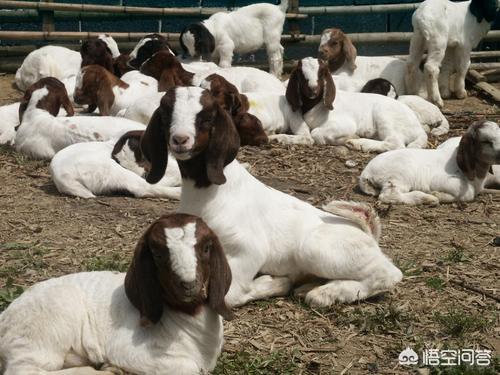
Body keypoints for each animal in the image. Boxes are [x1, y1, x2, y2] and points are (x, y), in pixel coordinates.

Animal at [0, 214, 234, 375]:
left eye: (206, 248)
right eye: (157, 254)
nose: (188, 284)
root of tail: (4, 318)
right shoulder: (130, 351)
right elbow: (188, 367)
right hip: (43, 333)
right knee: (25, 370)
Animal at [138, 86, 402, 310]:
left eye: (206, 117)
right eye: (165, 114)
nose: (180, 139)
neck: (209, 193)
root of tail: (368, 232)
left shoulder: (249, 250)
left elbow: (229, 294)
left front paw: (273, 282)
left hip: (315, 248)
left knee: (388, 274)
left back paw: (325, 294)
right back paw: (312, 287)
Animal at [278, 58, 426, 153]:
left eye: (321, 73)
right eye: (301, 73)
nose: (313, 89)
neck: (316, 105)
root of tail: (419, 129)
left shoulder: (344, 124)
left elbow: (315, 133)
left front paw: (350, 137)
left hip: (386, 117)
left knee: (395, 143)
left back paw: (359, 144)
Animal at [360, 121, 500, 206]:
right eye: (486, 141)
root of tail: (366, 173)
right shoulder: (442, 180)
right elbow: (469, 193)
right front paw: (437, 194)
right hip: (399, 176)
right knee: (389, 195)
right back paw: (427, 198)